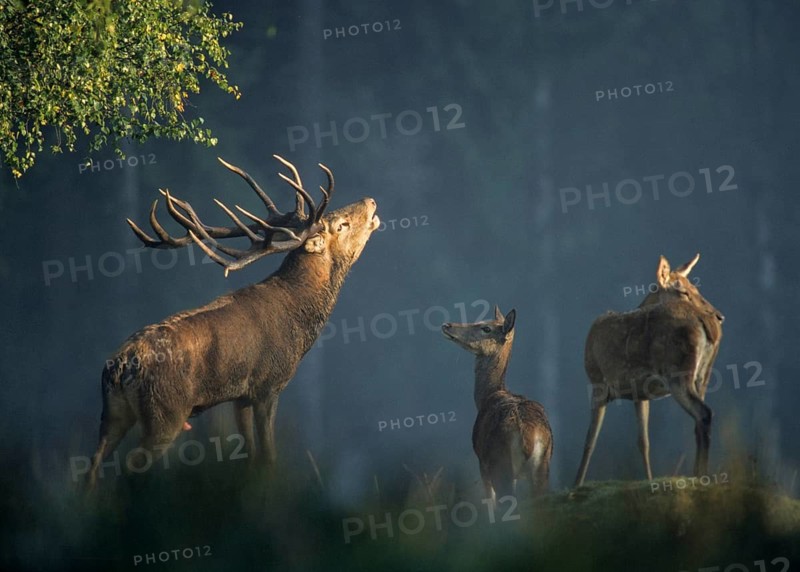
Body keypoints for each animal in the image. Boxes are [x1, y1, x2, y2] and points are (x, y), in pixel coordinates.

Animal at [86, 154, 380, 488]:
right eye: (341, 225)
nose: (370, 201)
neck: (299, 318)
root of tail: (122, 364)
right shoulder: (269, 385)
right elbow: (268, 456)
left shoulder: (240, 396)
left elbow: (250, 455)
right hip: (165, 412)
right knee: (129, 466)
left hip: (112, 415)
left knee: (91, 468)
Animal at [442, 307, 553, 503]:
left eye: (486, 328)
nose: (447, 325)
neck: (486, 397)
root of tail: (529, 437)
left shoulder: (482, 461)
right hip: (543, 468)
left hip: (500, 464)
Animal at [574, 253, 724, 487]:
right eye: (684, 291)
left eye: (695, 289)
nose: (719, 316)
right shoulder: (640, 394)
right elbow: (643, 442)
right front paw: (650, 479)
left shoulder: (596, 380)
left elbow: (590, 440)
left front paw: (576, 483)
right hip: (703, 375)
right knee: (698, 419)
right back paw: (698, 474)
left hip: (677, 372)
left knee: (704, 413)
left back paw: (701, 475)